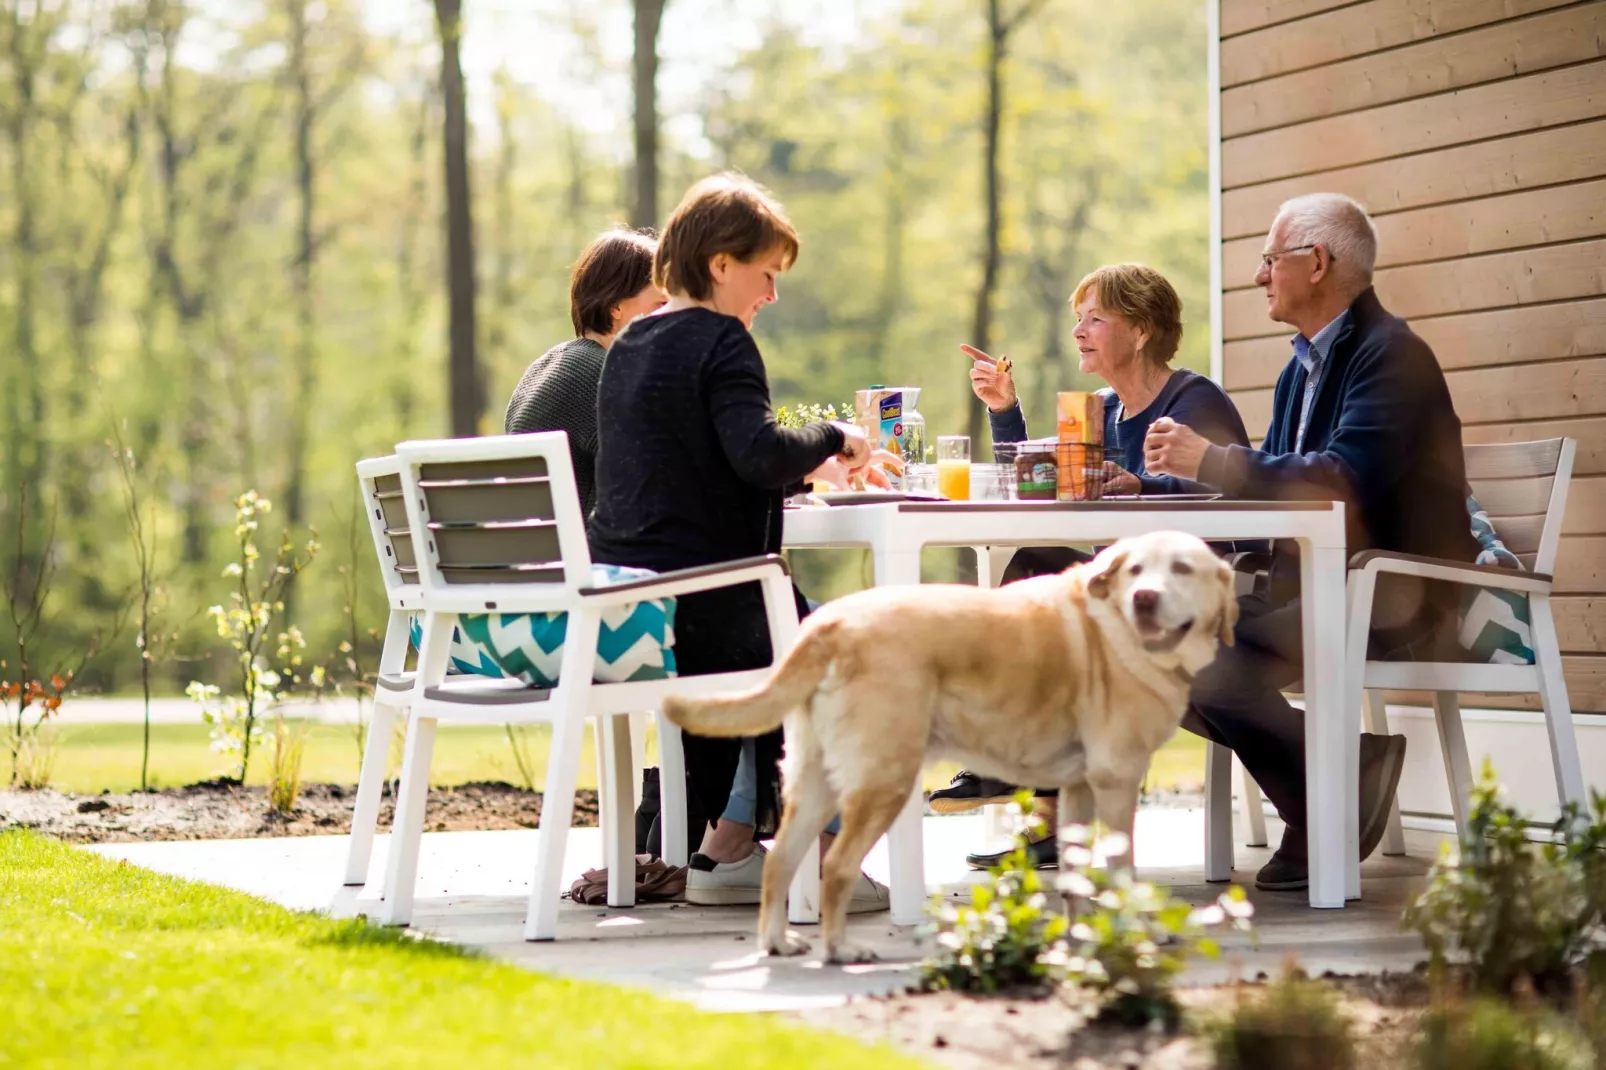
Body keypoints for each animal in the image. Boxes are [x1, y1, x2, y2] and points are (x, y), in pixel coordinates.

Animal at [658, 530, 1233, 963]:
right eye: (1136, 571)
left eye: (1182, 568)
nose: (1144, 599)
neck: (1114, 626)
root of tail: (829, 625)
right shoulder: (1117, 781)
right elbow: (1120, 871)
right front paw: (1140, 933)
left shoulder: (1079, 788)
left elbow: (1076, 873)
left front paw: (1081, 937)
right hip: (885, 781)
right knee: (837, 867)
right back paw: (840, 950)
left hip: (818, 783)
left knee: (781, 860)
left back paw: (778, 942)